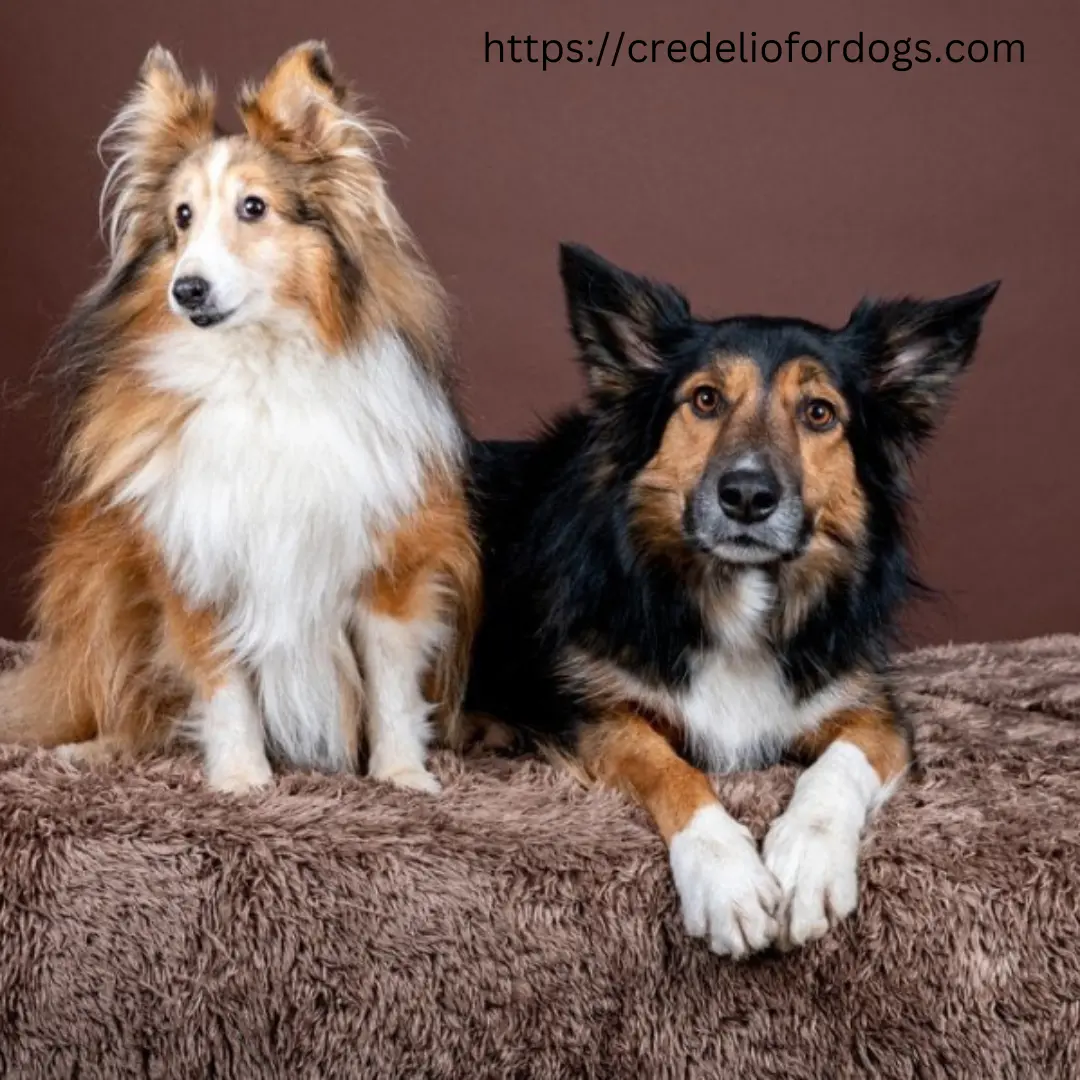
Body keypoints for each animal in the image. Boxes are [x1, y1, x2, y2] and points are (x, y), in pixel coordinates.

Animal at [1, 44, 477, 794]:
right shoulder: (196, 561)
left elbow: (392, 685)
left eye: (254, 207)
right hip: (99, 577)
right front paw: (242, 780)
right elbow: (223, 686)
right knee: (118, 701)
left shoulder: (391, 562)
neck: (261, 373)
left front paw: (403, 775)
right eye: (182, 217)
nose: (187, 289)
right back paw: (92, 751)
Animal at [464, 245, 993, 954]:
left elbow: (839, 765)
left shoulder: (873, 709)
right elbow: (672, 770)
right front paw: (726, 880)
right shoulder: (597, 713)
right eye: (706, 400)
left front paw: (807, 861)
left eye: (819, 412)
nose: (746, 495)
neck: (740, 592)